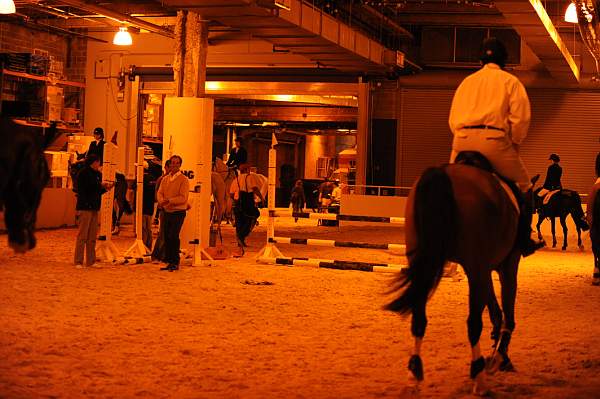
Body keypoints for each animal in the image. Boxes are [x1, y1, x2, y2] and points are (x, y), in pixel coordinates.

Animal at [386, 157, 524, 396]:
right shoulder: (505, 265)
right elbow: (507, 313)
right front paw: (500, 357)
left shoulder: (483, 269)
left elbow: (495, 309)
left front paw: (497, 351)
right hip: (476, 267)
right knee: (473, 324)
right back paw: (479, 377)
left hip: (424, 263)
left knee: (419, 319)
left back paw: (414, 373)